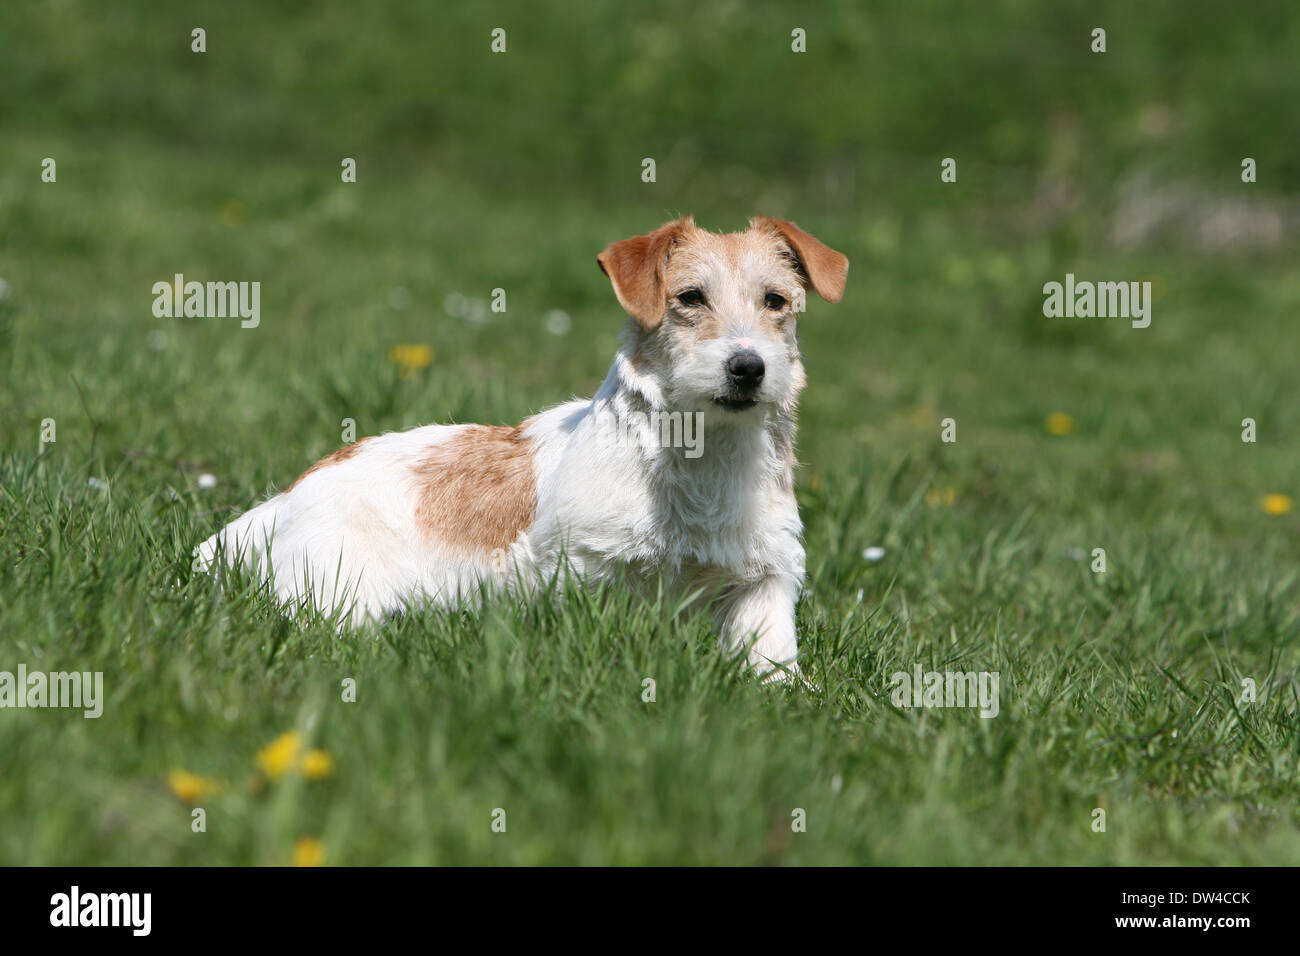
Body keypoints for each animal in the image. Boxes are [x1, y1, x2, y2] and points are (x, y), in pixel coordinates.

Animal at [189, 217, 842, 681]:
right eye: (690, 297)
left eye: (776, 301)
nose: (748, 367)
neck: (704, 454)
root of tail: (285, 499)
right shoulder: (581, 567)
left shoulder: (767, 579)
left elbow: (773, 663)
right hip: (343, 592)